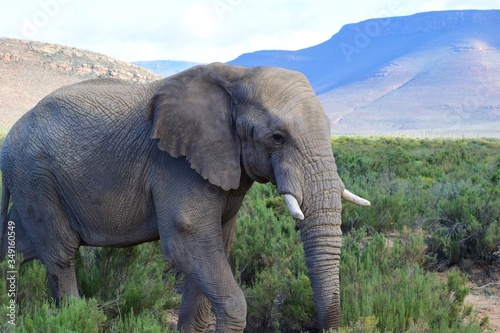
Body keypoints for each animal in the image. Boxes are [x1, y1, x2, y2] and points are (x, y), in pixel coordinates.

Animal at [0, 61, 368, 330]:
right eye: (277, 138)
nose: (330, 326)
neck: (238, 76)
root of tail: (7, 142)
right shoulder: (176, 164)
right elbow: (187, 240)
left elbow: (214, 248)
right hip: (36, 177)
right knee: (61, 255)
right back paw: (73, 316)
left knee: (21, 249)